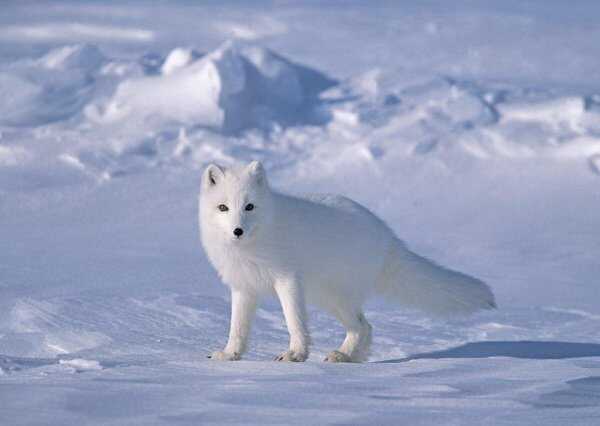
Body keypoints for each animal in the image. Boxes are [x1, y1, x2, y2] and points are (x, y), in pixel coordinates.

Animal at [199, 161, 494, 362]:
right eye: (223, 207)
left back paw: (344, 356)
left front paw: (295, 355)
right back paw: (350, 357)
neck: (252, 245)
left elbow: (294, 321)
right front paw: (230, 354)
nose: (237, 231)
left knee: (364, 326)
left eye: (249, 206)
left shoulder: (287, 280)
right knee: (365, 327)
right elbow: (237, 328)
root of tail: (387, 236)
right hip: (327, 297)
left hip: (334, 296)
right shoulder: (243, 287)